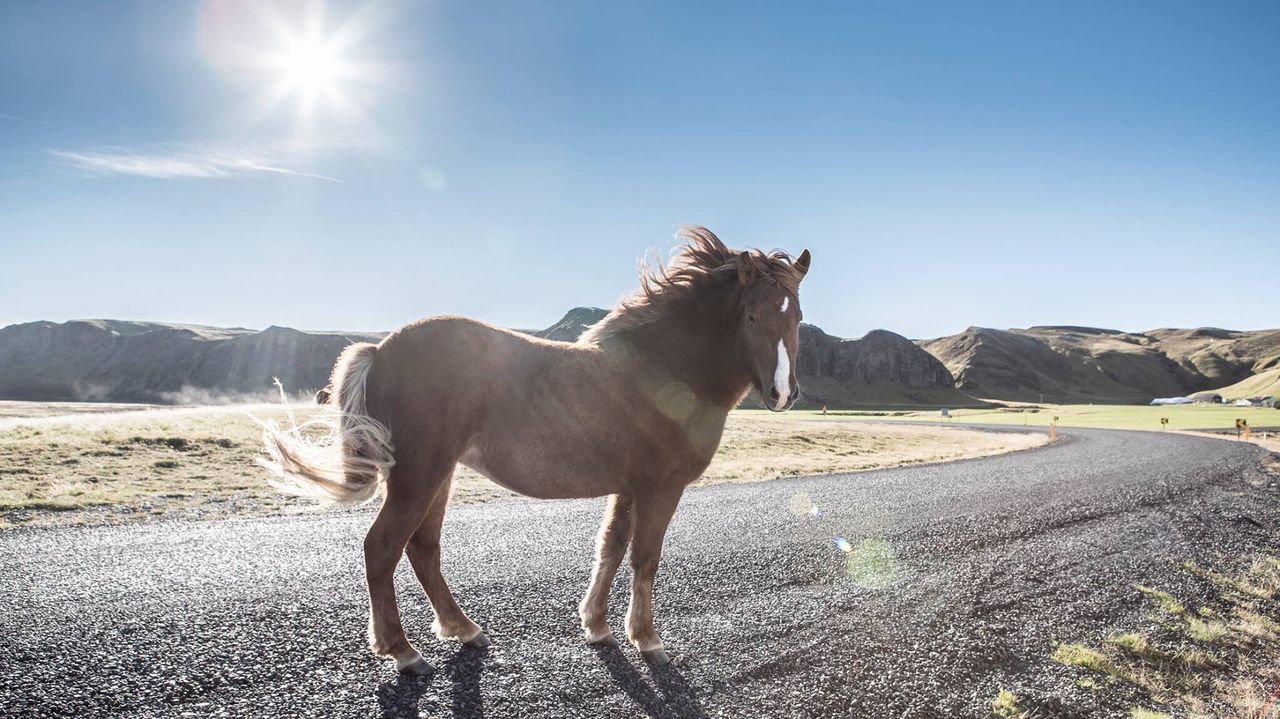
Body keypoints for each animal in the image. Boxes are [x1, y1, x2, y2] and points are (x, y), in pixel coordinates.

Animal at [259, 227, 808, 670]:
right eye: (752, 316)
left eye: (798, 317)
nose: (783, 393)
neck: (668, 367)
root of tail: (381, 348)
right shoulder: (660, 487)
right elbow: (645, 557)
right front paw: (645, 638)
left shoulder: (629, 486)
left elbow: (611, 547)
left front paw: (596, 625)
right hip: (418, 476)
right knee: (383, 548)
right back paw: (403, 651)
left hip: (438, 475)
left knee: (423, 548)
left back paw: (464, 630)